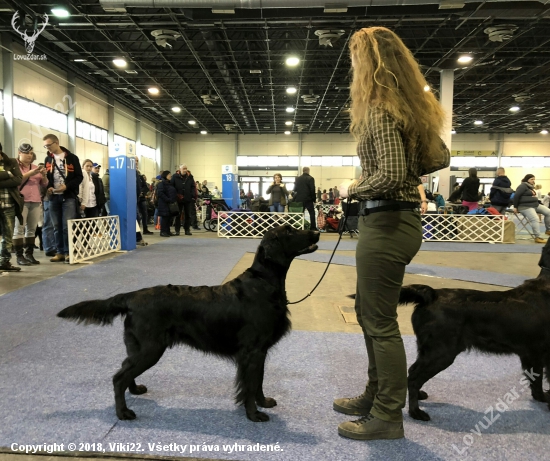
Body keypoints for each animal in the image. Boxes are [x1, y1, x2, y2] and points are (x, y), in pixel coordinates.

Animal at [58, 225, 322, 422]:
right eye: (289, 231)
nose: (317, 231)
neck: (263, 283)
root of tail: (132, 296)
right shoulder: (252, 351)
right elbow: (249, 385)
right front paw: (253, 414)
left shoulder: (260, 351)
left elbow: (258, 382)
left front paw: (263, 402)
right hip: (150, 349)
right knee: (118, 377)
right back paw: (123, 412)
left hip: (139, 346)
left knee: (124, 368)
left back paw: (135, 390)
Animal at [402, 241, 550, 420]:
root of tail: (432, 294)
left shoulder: (532, 354)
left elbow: (536, 379)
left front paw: (541, 397)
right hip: (441, 352)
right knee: (414, 378)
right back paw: (416, 412)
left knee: (412, 372)